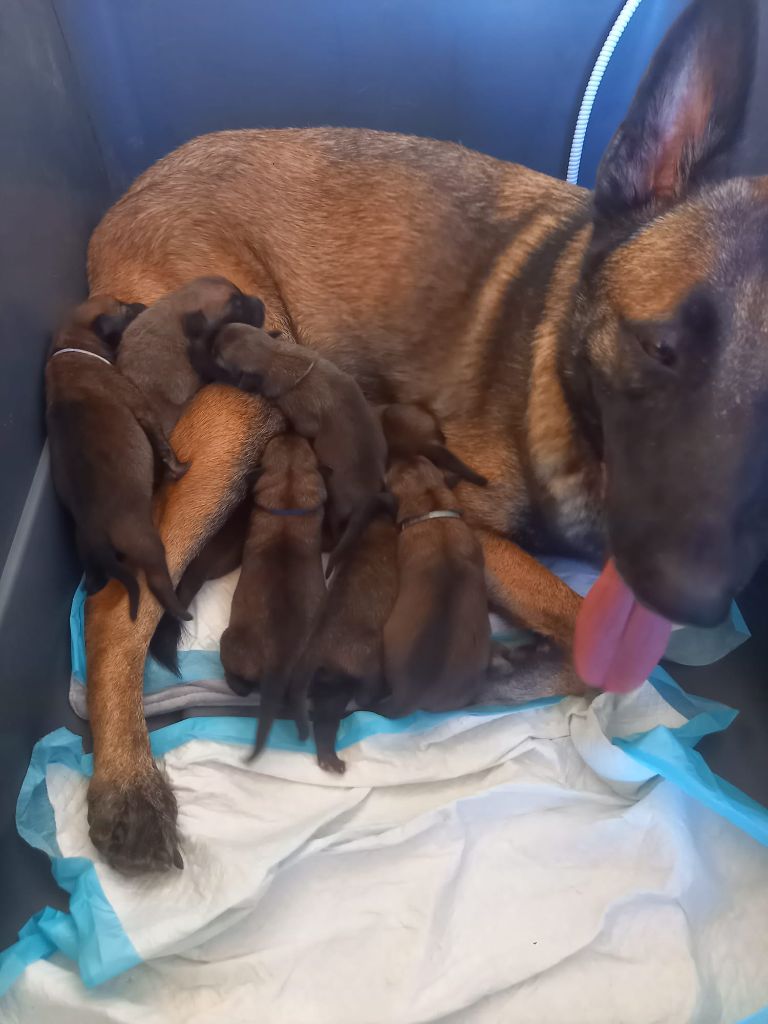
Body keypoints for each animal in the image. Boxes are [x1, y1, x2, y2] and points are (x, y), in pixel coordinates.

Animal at [46, 296, 191, 619]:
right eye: (123, 308)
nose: (140, 304)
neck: (72, 347)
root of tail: (97, 534)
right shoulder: (142, 408)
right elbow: (163, 446)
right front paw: (178, 468)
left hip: (90, 560)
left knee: (94, 585)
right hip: (146, 543)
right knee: (157, 582)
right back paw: (180, 609)